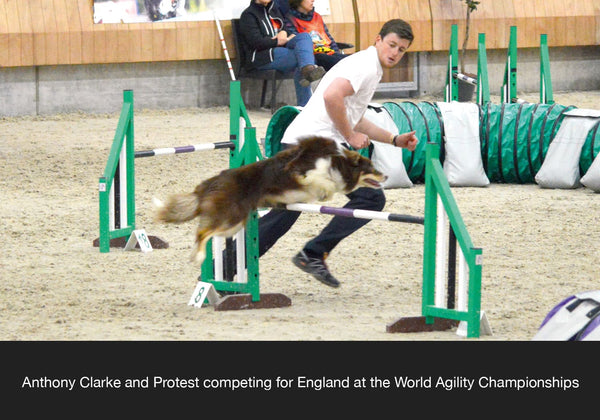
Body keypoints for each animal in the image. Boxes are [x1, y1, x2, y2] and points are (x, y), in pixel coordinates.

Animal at [155, 136, 386, 264]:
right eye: (372, 167)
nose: (385, 176)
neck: (339, 164)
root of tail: (211, 182)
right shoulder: (297, 170)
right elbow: (319, 179)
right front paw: (324, 188)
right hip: (231, 217)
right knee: (202, 233)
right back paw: (199, 257)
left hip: (234, 223)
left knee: (205, 233)